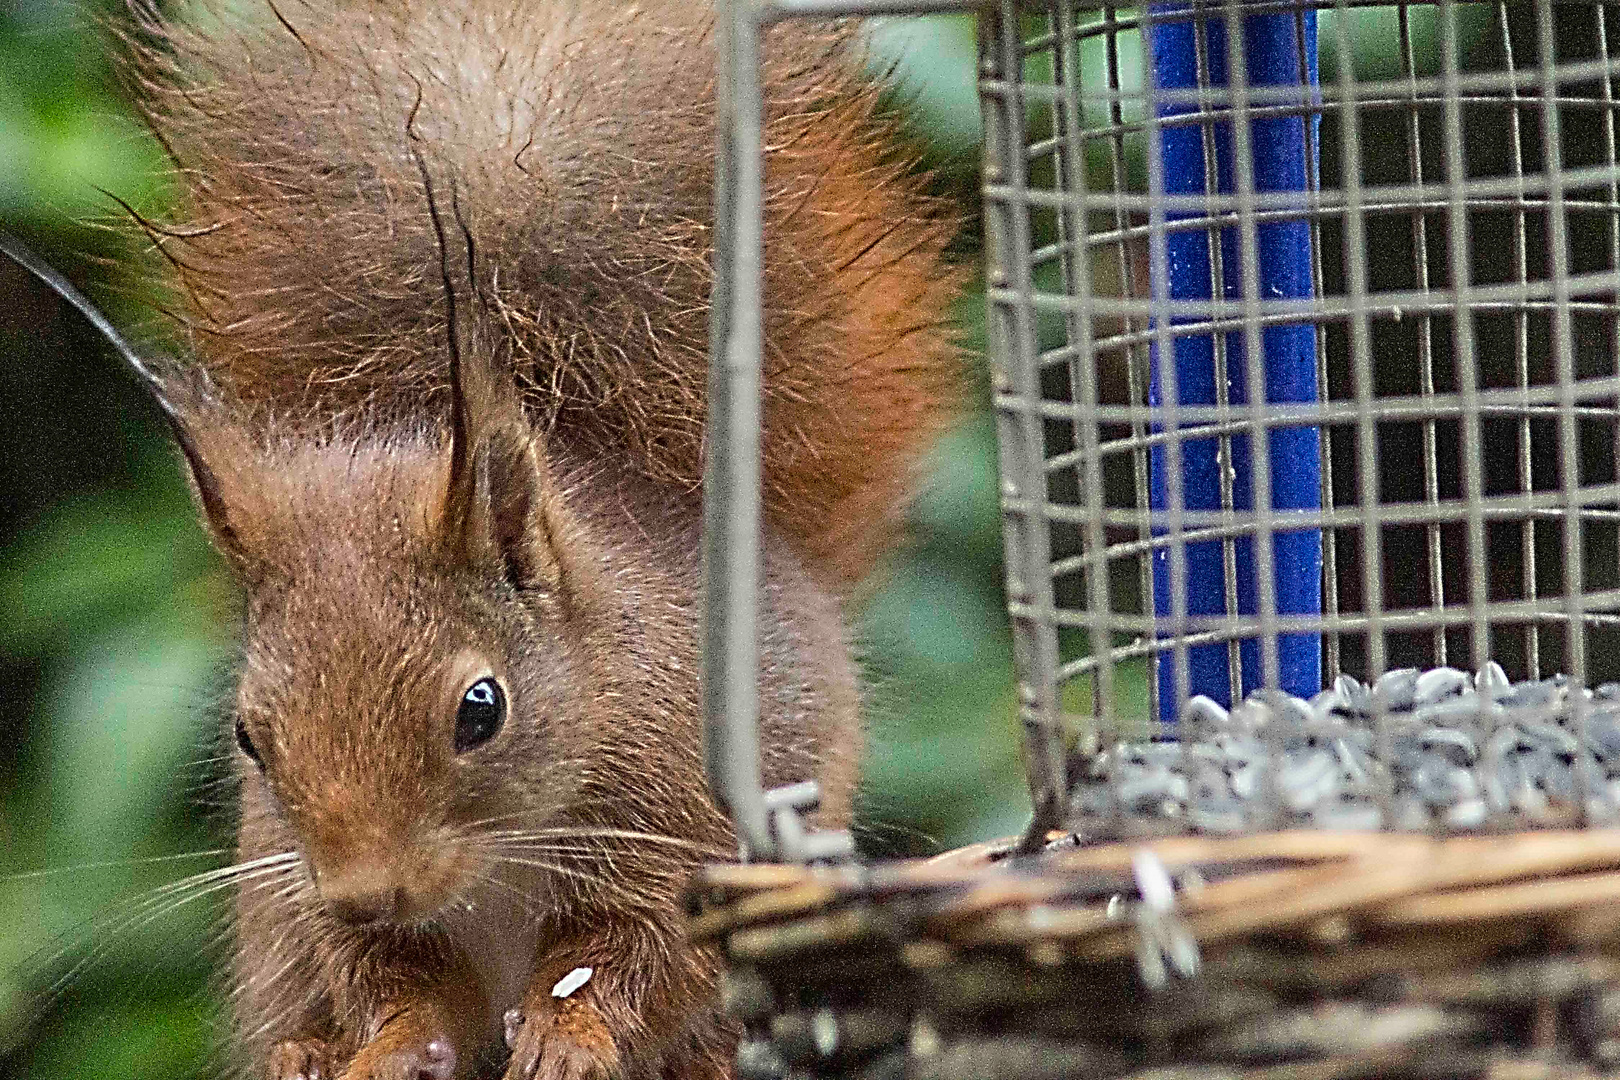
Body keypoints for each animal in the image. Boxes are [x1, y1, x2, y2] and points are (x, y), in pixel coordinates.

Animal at [85, 0, 959, 1075]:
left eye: (481, 710)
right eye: (250, 735)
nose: (368, 891)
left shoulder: (683, 829)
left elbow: (640, 959)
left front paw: (567, 1031)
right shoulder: (317, 896)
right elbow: (394, 981)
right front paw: (395, 1041)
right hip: (274, 928)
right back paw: (303, 1052)